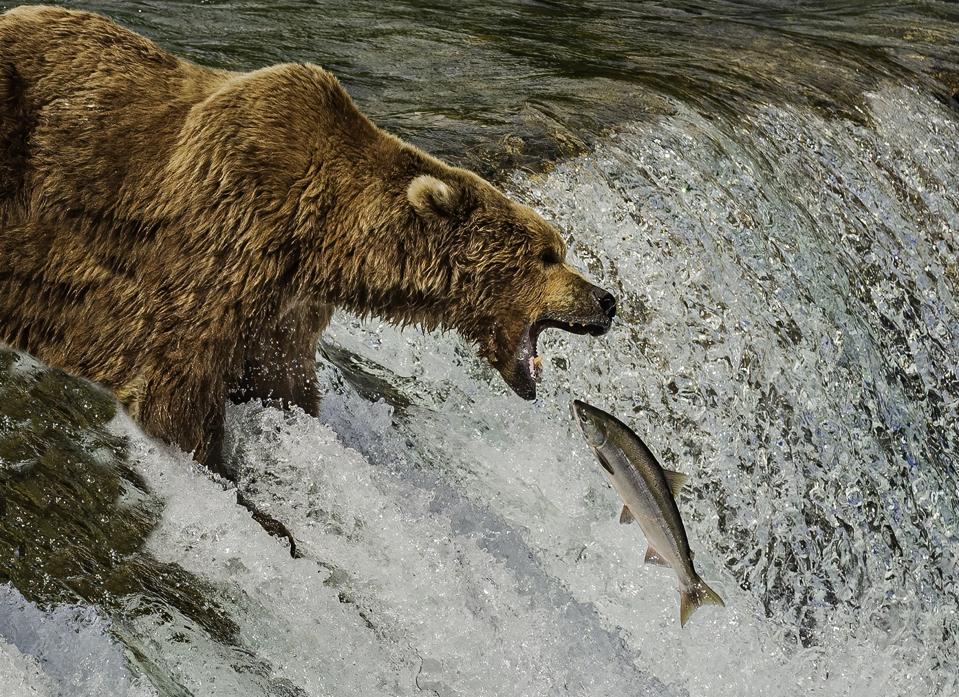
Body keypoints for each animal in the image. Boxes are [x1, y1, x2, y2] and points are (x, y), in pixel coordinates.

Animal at [0, 5, 616, 470]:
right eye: (549, 254)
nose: (607, 299)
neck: (324, 240)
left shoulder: (282, 310)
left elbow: (286, 385)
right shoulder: (222, 239)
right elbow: (173, 386)